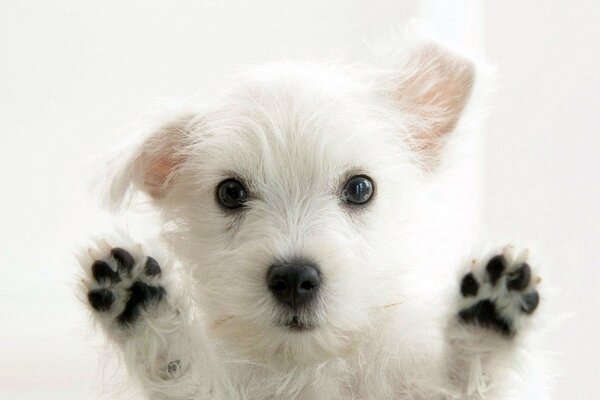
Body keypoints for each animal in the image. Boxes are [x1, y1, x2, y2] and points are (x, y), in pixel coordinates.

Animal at [78, 40, 548, 400]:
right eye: (230, 193)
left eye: (360, 188)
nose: (293, 278)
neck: (308, 366)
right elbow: (183, 373)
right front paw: (144, 306)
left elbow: (464, 384)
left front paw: (484, 326)